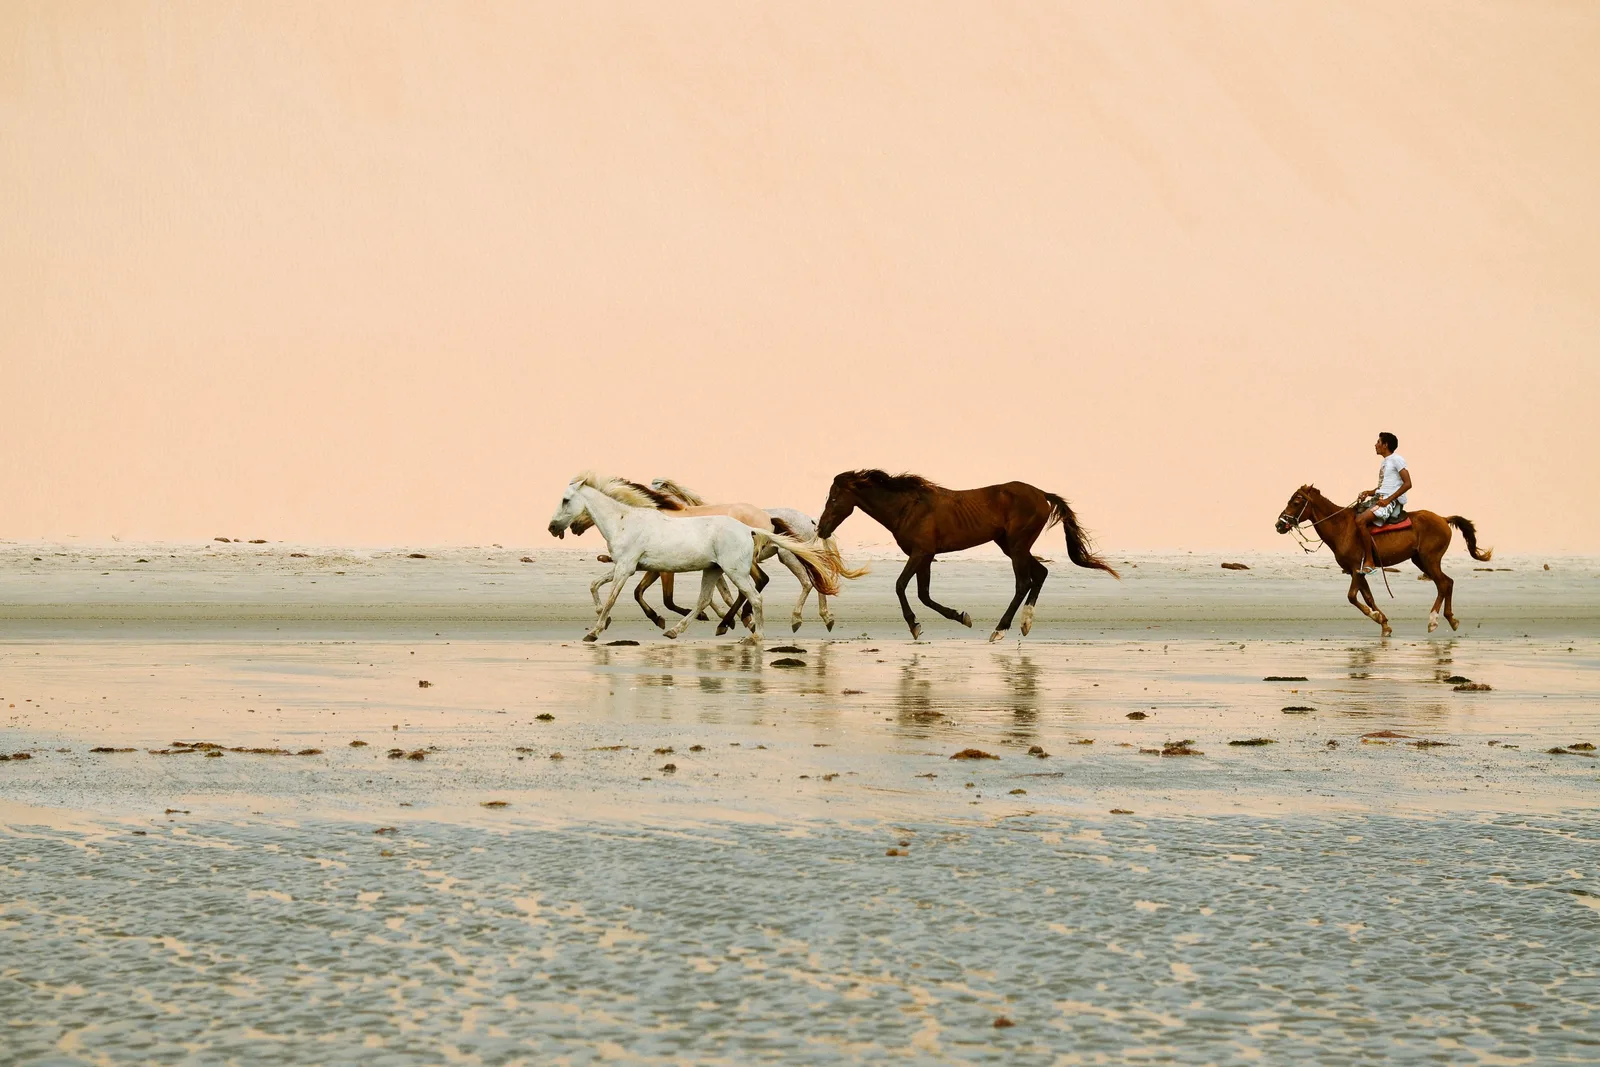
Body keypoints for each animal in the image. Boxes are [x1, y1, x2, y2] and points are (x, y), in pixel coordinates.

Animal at [548, 473, 843, 644]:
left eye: (565, 500)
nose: (552, 528)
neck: (625, 520)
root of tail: (751, 528)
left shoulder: (628, 568)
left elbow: (613, 598)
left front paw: (594, 631)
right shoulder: (628, 567)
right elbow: (595, 586)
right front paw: (602, 618)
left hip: (738, 570)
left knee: (758, 595)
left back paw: (756, 634)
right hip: (714, 570)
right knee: (706, 599)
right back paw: (682, 630)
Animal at [651, 478, 869, 632]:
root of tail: (811, 520)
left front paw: (735, 620)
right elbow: (723, 594)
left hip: (788, 556)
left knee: (808, 582)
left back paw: (797, 619)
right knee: (817, 579)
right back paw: (826, 617)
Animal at [816, 469, 1119, 642]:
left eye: (833, 499)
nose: (821, 528)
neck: (907, 507)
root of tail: (1042, 494)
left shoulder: (920, 553)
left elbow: (901, 586)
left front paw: (915, 626)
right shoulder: (926, 556)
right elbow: (924, 594)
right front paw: (961, 616)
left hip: (1017, 546)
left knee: (1024, 582)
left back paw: (1000, 630)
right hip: (1010, 545)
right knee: (1040, 574)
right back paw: (1025, 624)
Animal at [1274, 484, 1491, 636]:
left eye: (1296, 502)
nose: (1279, 524)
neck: (1341, 527)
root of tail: (1443, 519)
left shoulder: (1356, 568)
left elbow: (1352, 596)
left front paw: (1377, 616)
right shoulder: (1357, 572)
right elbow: (1368, 597)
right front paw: (1384, 623)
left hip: (1430, 559)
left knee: (1444, 584)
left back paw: (1434, 621)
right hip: (1420, 560)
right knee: (1447, 583)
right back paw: (1450, 620)